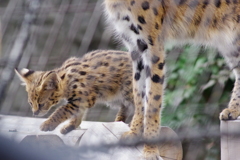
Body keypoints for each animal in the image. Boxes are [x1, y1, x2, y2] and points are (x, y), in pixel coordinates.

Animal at [104, 0, 240, 159]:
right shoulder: (135, 47)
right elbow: (139, 95)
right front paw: (134, 133)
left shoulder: (152, 46)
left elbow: (153, 101)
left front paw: (150, 150)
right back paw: (233, 110)